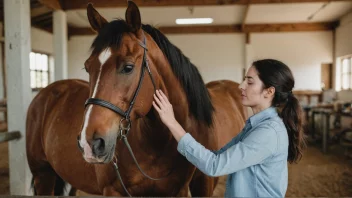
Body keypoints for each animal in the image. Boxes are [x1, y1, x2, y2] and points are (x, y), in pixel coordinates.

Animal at [25, 1, 245, 196]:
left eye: (128, 67)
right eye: (87, 67)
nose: (90, 143)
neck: (157, 143)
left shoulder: (182, 190)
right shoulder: (112, 191)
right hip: (43, 174)